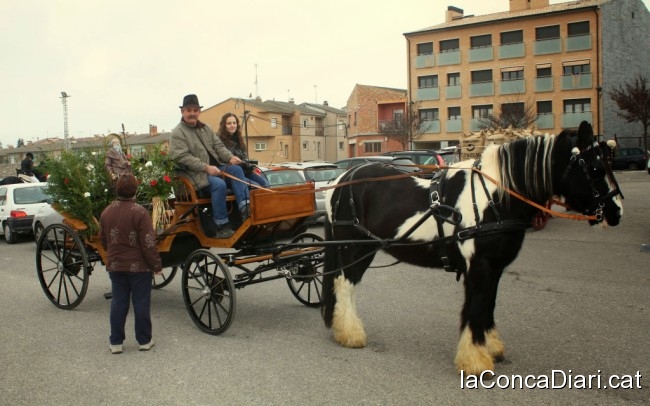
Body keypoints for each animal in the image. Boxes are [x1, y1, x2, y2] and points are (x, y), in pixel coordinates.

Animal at [322, 120, 620, 374]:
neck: (494, 198)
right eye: (595, 169)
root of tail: (341, 179)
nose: (616, 212)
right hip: (354, 248)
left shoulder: (495, 267)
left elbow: (489, 304)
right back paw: (350, 333)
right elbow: (475, 307)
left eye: (608, 163)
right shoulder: (479, 267)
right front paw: (475, 360)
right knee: (344, 283)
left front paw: (492, 347)